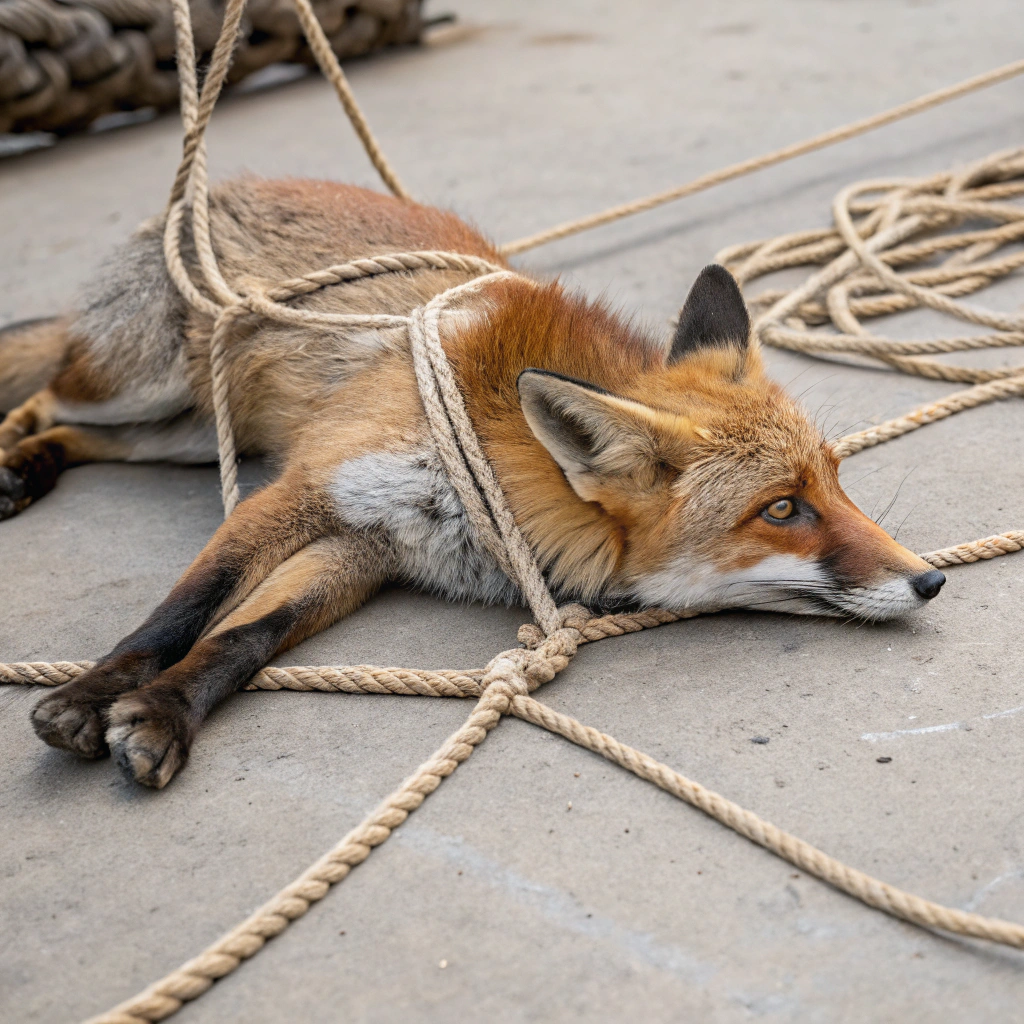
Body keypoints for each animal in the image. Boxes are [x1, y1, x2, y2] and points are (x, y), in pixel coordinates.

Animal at [0, 176, 946, 789]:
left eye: (836, 482)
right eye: (780, 509)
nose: (930, 580)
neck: (485, 473)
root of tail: (212, 188)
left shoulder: (366, 546)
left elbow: (245, 635)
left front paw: (162, 714)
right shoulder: (305, 486)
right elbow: (185, 610)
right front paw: (87, 700)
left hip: (187, 434)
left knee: (78, 434)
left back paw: (30, 465)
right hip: (145, 387)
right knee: (46, 394)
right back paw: (12, 459)